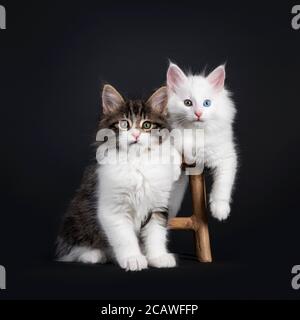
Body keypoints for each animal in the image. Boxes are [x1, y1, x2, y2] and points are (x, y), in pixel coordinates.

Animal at [56, 84, 180, 270]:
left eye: (147, 125)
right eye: (124, 124)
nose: (135, 135)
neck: (137, 162)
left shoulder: (158, 205)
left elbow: (156, 234)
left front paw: (158, 257)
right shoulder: (113, 209)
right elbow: (125, 238)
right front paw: (133, 259)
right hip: (77, 217)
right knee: (73, 249)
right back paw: (93, 255)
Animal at [166, 63, 237, 221]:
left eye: (207, 103)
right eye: (188, 103)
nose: (198, 113)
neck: (195, 133)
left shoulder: (226, 157)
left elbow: (222, 185)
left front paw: (220, 210)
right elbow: (173, 152)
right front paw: (173, 172)